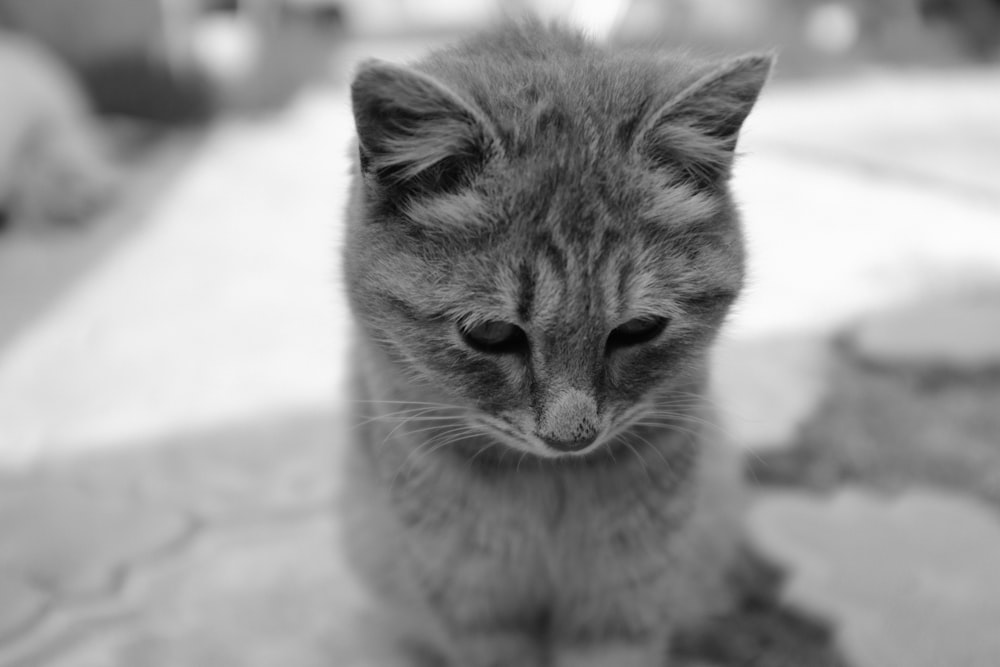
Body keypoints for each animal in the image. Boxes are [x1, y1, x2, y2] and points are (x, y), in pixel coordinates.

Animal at [340, 19, 768, 667]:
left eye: (639, 329)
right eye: (490, 333)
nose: (572, 437)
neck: (550, 489)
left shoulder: (625, 602)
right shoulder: (476, 607)